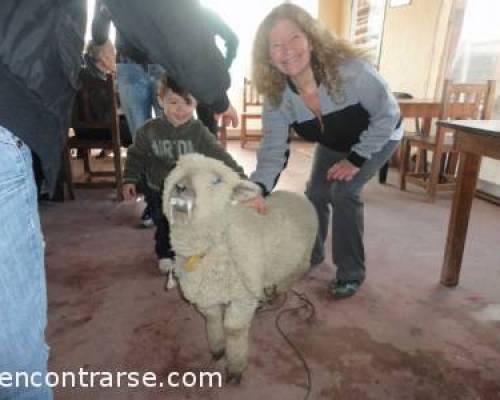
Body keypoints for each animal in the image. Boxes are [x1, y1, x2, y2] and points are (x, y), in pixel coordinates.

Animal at [161, 152, 316, 382]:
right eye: (177, 166)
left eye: (217, 180)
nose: (181, 186)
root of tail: (296, 195)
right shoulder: (207, 295)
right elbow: (213, 320)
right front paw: (217, 349)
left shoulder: (242, 298)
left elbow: (233, 330)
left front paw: (235, 367)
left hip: (302, 255)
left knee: (297, 271)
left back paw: (276, 292)